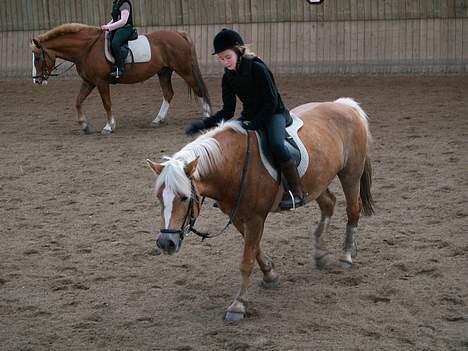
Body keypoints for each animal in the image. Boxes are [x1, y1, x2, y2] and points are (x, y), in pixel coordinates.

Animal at [29, 22, 210, 134]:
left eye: (37, 57)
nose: (37, 80)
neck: (86, 49)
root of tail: (179, 34)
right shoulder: (89, 82)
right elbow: (78, 101)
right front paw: (85, 125)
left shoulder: (101, 82)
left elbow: (107, 103)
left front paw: (109, 127)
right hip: (164, 72)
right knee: (168, 93)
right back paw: (157, 120)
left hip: (184, 70)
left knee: (198, 90)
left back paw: (207, 117)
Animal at [146, 97, 372, 324]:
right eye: (159, 198)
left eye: (185, 197)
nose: (166, 242)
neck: (232, 165)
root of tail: (345, 105)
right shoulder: (238, 216)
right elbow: (255, 250)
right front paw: (270, 275)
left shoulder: (255, 218)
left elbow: (247, 260)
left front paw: (238, 305)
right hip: (317, 182)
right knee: (329, 204)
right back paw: (321, 254)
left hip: (350, 174)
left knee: (353, 210)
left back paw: (346, 256)